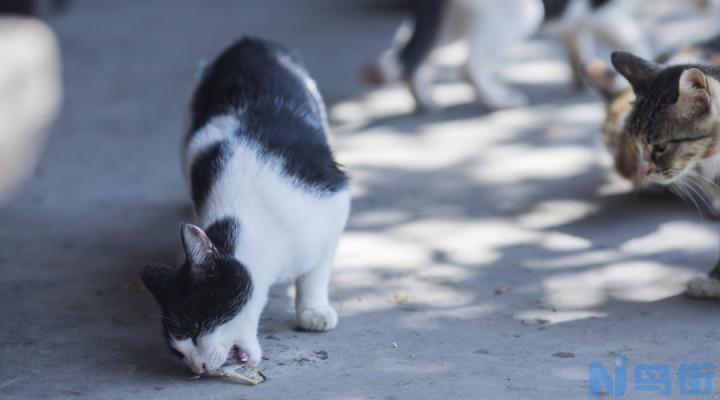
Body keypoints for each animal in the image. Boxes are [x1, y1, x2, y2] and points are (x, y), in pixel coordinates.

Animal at [140, 37, 348, 376]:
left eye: (196, 327)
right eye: (178, 352)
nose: (197, 368)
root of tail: (248, 42)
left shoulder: (334, 198)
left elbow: (317, 267)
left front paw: (313, 309)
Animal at [366, 0, 652, 111]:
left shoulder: (577, 24)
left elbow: (576, 47)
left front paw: (581, 78)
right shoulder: (607, 16)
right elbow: (634, 40)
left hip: (452, 22)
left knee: (406, 50)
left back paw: (422, 98)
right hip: (523, 13)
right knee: (470, 66)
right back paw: (499, 100)